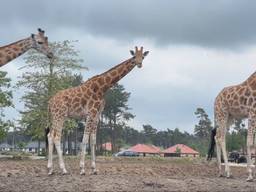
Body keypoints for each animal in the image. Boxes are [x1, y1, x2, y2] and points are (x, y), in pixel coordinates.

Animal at [47, 46, 149, 176]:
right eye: (134, 56)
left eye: (143, 56)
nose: (139, 64)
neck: (103, 88)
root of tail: (50, 102)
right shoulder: (91, 113)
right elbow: (85, 139)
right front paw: (82, 169)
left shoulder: (97, 114)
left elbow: (93, 141)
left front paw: (94, 169)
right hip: (59, 115)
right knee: (56, 137)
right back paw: (63, 169)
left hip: (55, 116)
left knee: (50, 135)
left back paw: (50, 169)